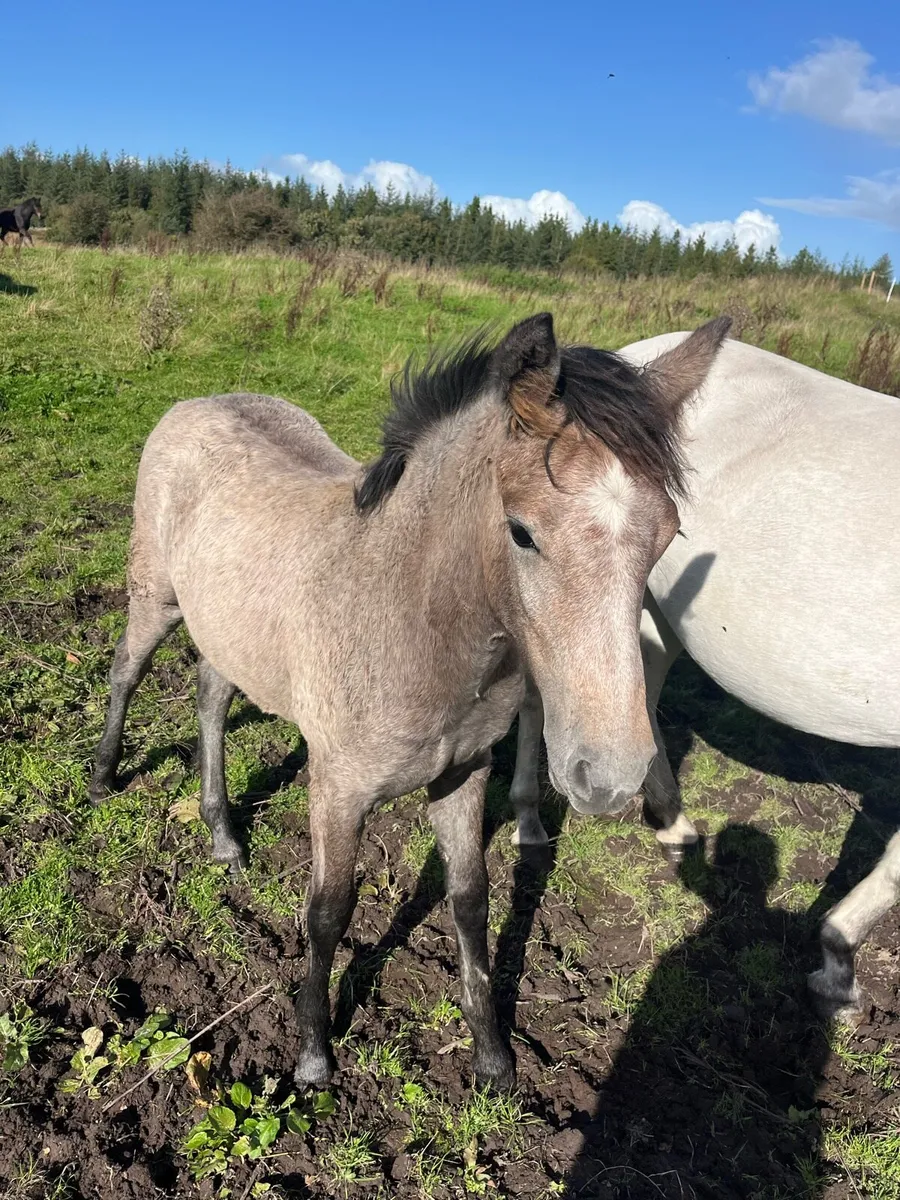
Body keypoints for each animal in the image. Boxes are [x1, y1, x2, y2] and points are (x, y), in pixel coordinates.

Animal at [90, 313, 729, 1088]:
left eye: (666, 536)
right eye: (522, 532)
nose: (608, 777)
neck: (411, 619)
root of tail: (198, 401)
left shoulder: (463, 774)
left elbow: (470, 900)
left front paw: (492, 1057)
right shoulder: (337, 790)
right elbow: (328, 911)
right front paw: (314, 1057)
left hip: (228, 629)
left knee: (211, 699)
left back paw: (223, 836)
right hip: (155, 597)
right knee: (126, 671)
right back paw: (103, 778)